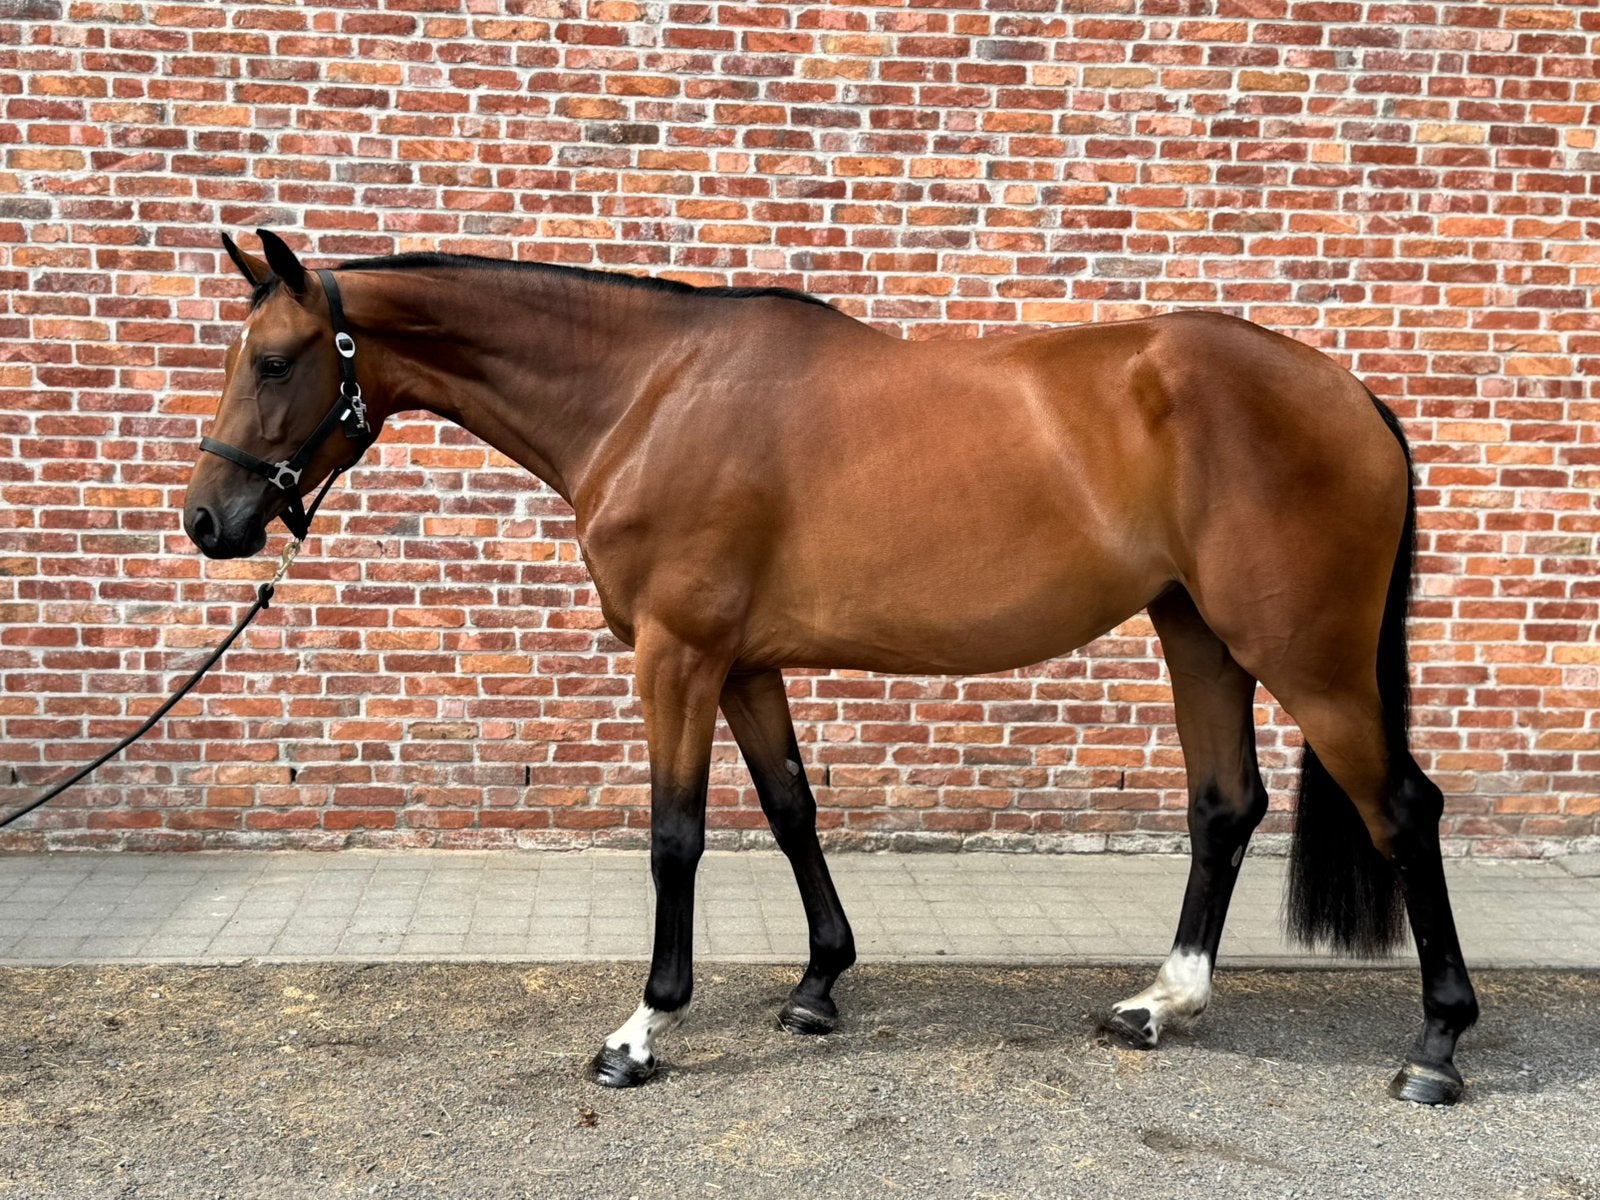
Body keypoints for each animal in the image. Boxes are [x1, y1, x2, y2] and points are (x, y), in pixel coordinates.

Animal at [181, 229, 1478, 1106]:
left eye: (278, 360)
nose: (210, 520)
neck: (646, 396)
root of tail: (1350, 393)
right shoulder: (744, 664)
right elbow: (793, 808)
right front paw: (817, 987)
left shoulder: (678, 655)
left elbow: (677, 835)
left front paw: (640, 1033)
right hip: (1194, 633)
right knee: (1225, 806)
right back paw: (1159, 1004)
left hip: (1303, 655)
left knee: (1402, 810)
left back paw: (1435, 1049)